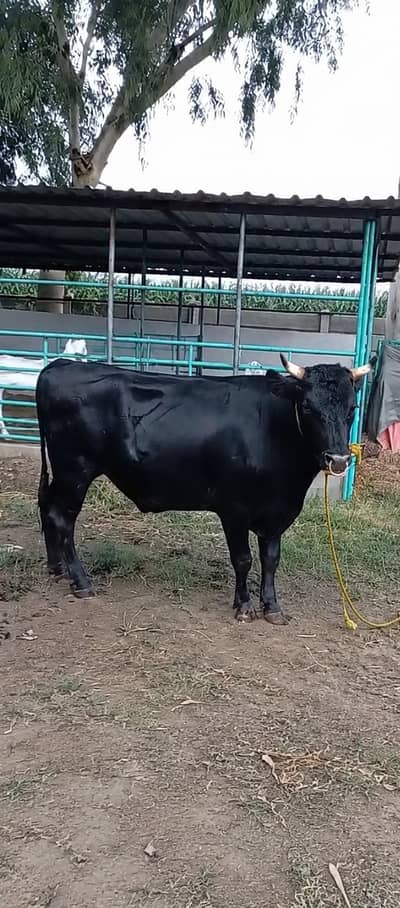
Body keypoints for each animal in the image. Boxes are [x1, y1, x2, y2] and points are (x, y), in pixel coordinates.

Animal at [35, 355, 370, 624]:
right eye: (308, 406)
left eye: (352, 407)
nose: (339, 459)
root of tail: (61, 365)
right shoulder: (234, 509)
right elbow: (243, 559)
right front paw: (244, 606)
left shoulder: (277, 512)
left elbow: (271, 559)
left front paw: (272, 606)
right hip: (75, 471)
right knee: (63, 519)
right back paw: (81, 581)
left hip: (64, 474)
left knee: (47, 507)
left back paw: (57, 567)